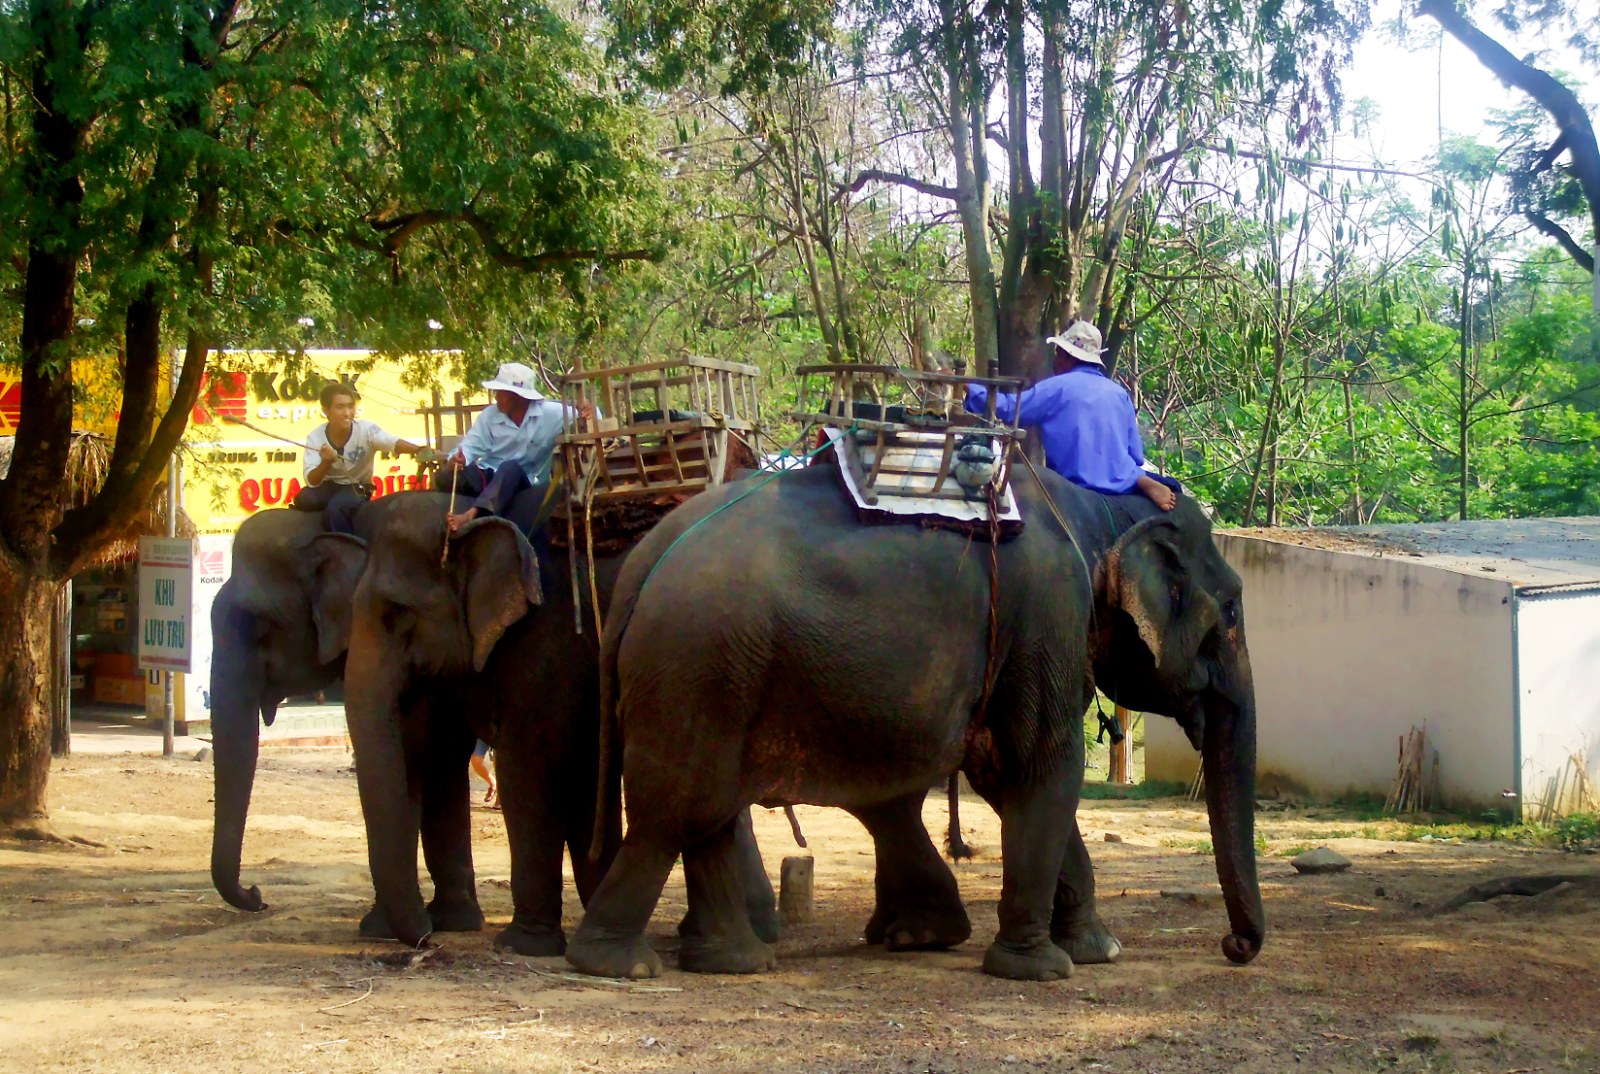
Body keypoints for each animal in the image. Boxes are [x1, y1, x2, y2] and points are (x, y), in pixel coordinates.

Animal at [565, 460, 1263, 981]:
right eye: (1231, 610)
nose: (1234, 947)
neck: (1100, 512)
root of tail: (644, 560)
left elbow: (1006, 778)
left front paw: (1096, 950)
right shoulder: (1046, 614)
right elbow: (1040, 767)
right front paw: (1043, 967)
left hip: (715, 674)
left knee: (711, 811)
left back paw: (740, 960)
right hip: (701, 663)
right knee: (677, 809)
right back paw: (619, 964)